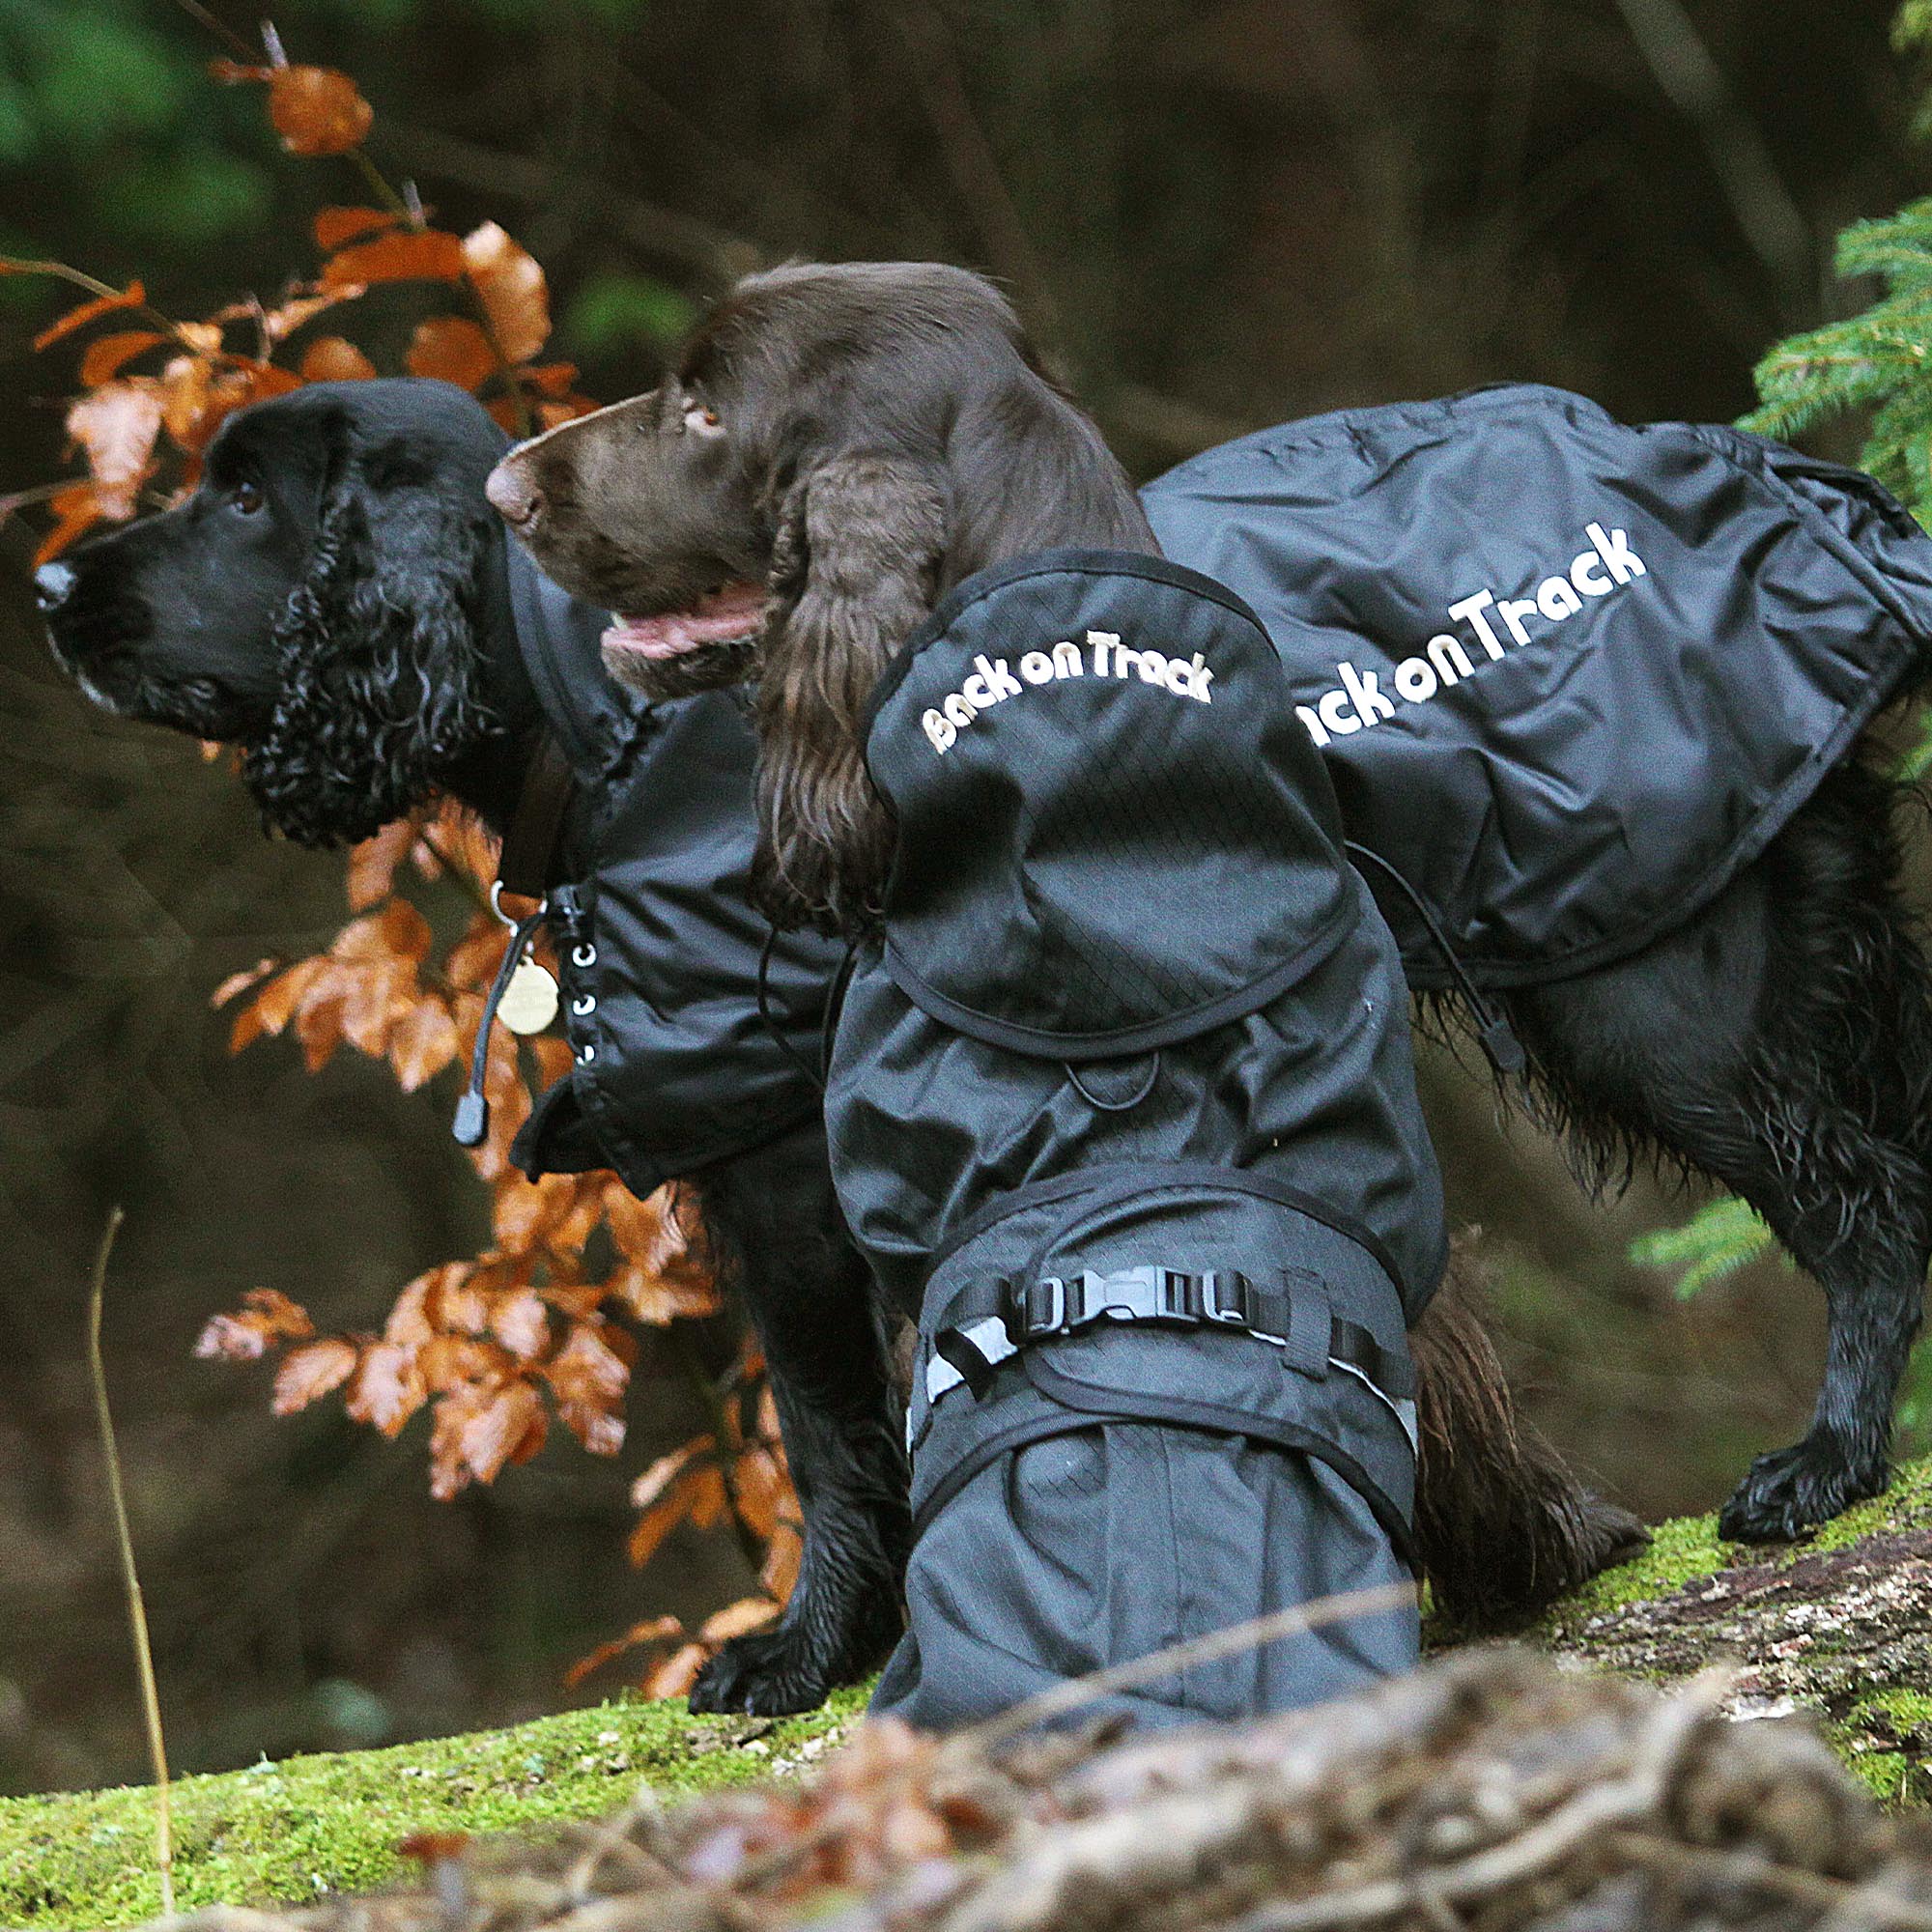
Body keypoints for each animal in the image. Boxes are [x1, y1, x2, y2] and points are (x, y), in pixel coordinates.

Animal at [36, 381, 912, 1723]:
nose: (43, 585)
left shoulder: (778, 1144)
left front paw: (808, 1650)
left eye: (246, 496)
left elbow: (825, 1419)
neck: (598, 721)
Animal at [491, 265, 1932, 1546]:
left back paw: (1823, 1462)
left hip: (1657, 992)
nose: (506, 489)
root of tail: (1785, 488)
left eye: (704, 410)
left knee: (1877, 1211)